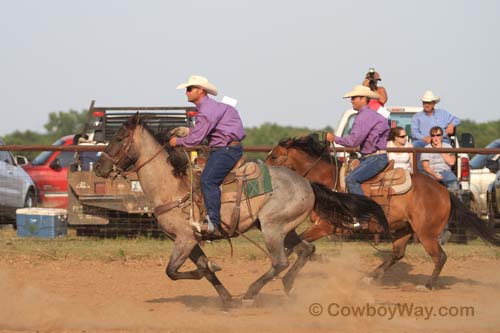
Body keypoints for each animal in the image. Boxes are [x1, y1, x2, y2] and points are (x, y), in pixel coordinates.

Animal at [93, 113, 386, 304]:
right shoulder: (189, 240)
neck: (172, 186)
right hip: (285, 228)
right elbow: (200, 270)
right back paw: (287, 286)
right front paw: (226, 298)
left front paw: (218, 272)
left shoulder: (185, 239)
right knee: (305, 251)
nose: (99, 167)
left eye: (119, 137)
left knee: (280, 261)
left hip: (273, 228)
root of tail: (307, 183)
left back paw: (252, 292)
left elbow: (173, 271)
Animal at [266, 134, 500, 290]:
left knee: (440, 257)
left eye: (275, 157)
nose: (266, 175)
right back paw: (370, 277)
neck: (327, 180)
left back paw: (427, 285)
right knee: (397, 253)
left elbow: (293, 243)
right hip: (403, 229)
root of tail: (443, 191)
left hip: (426, 234)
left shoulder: (324, 227)